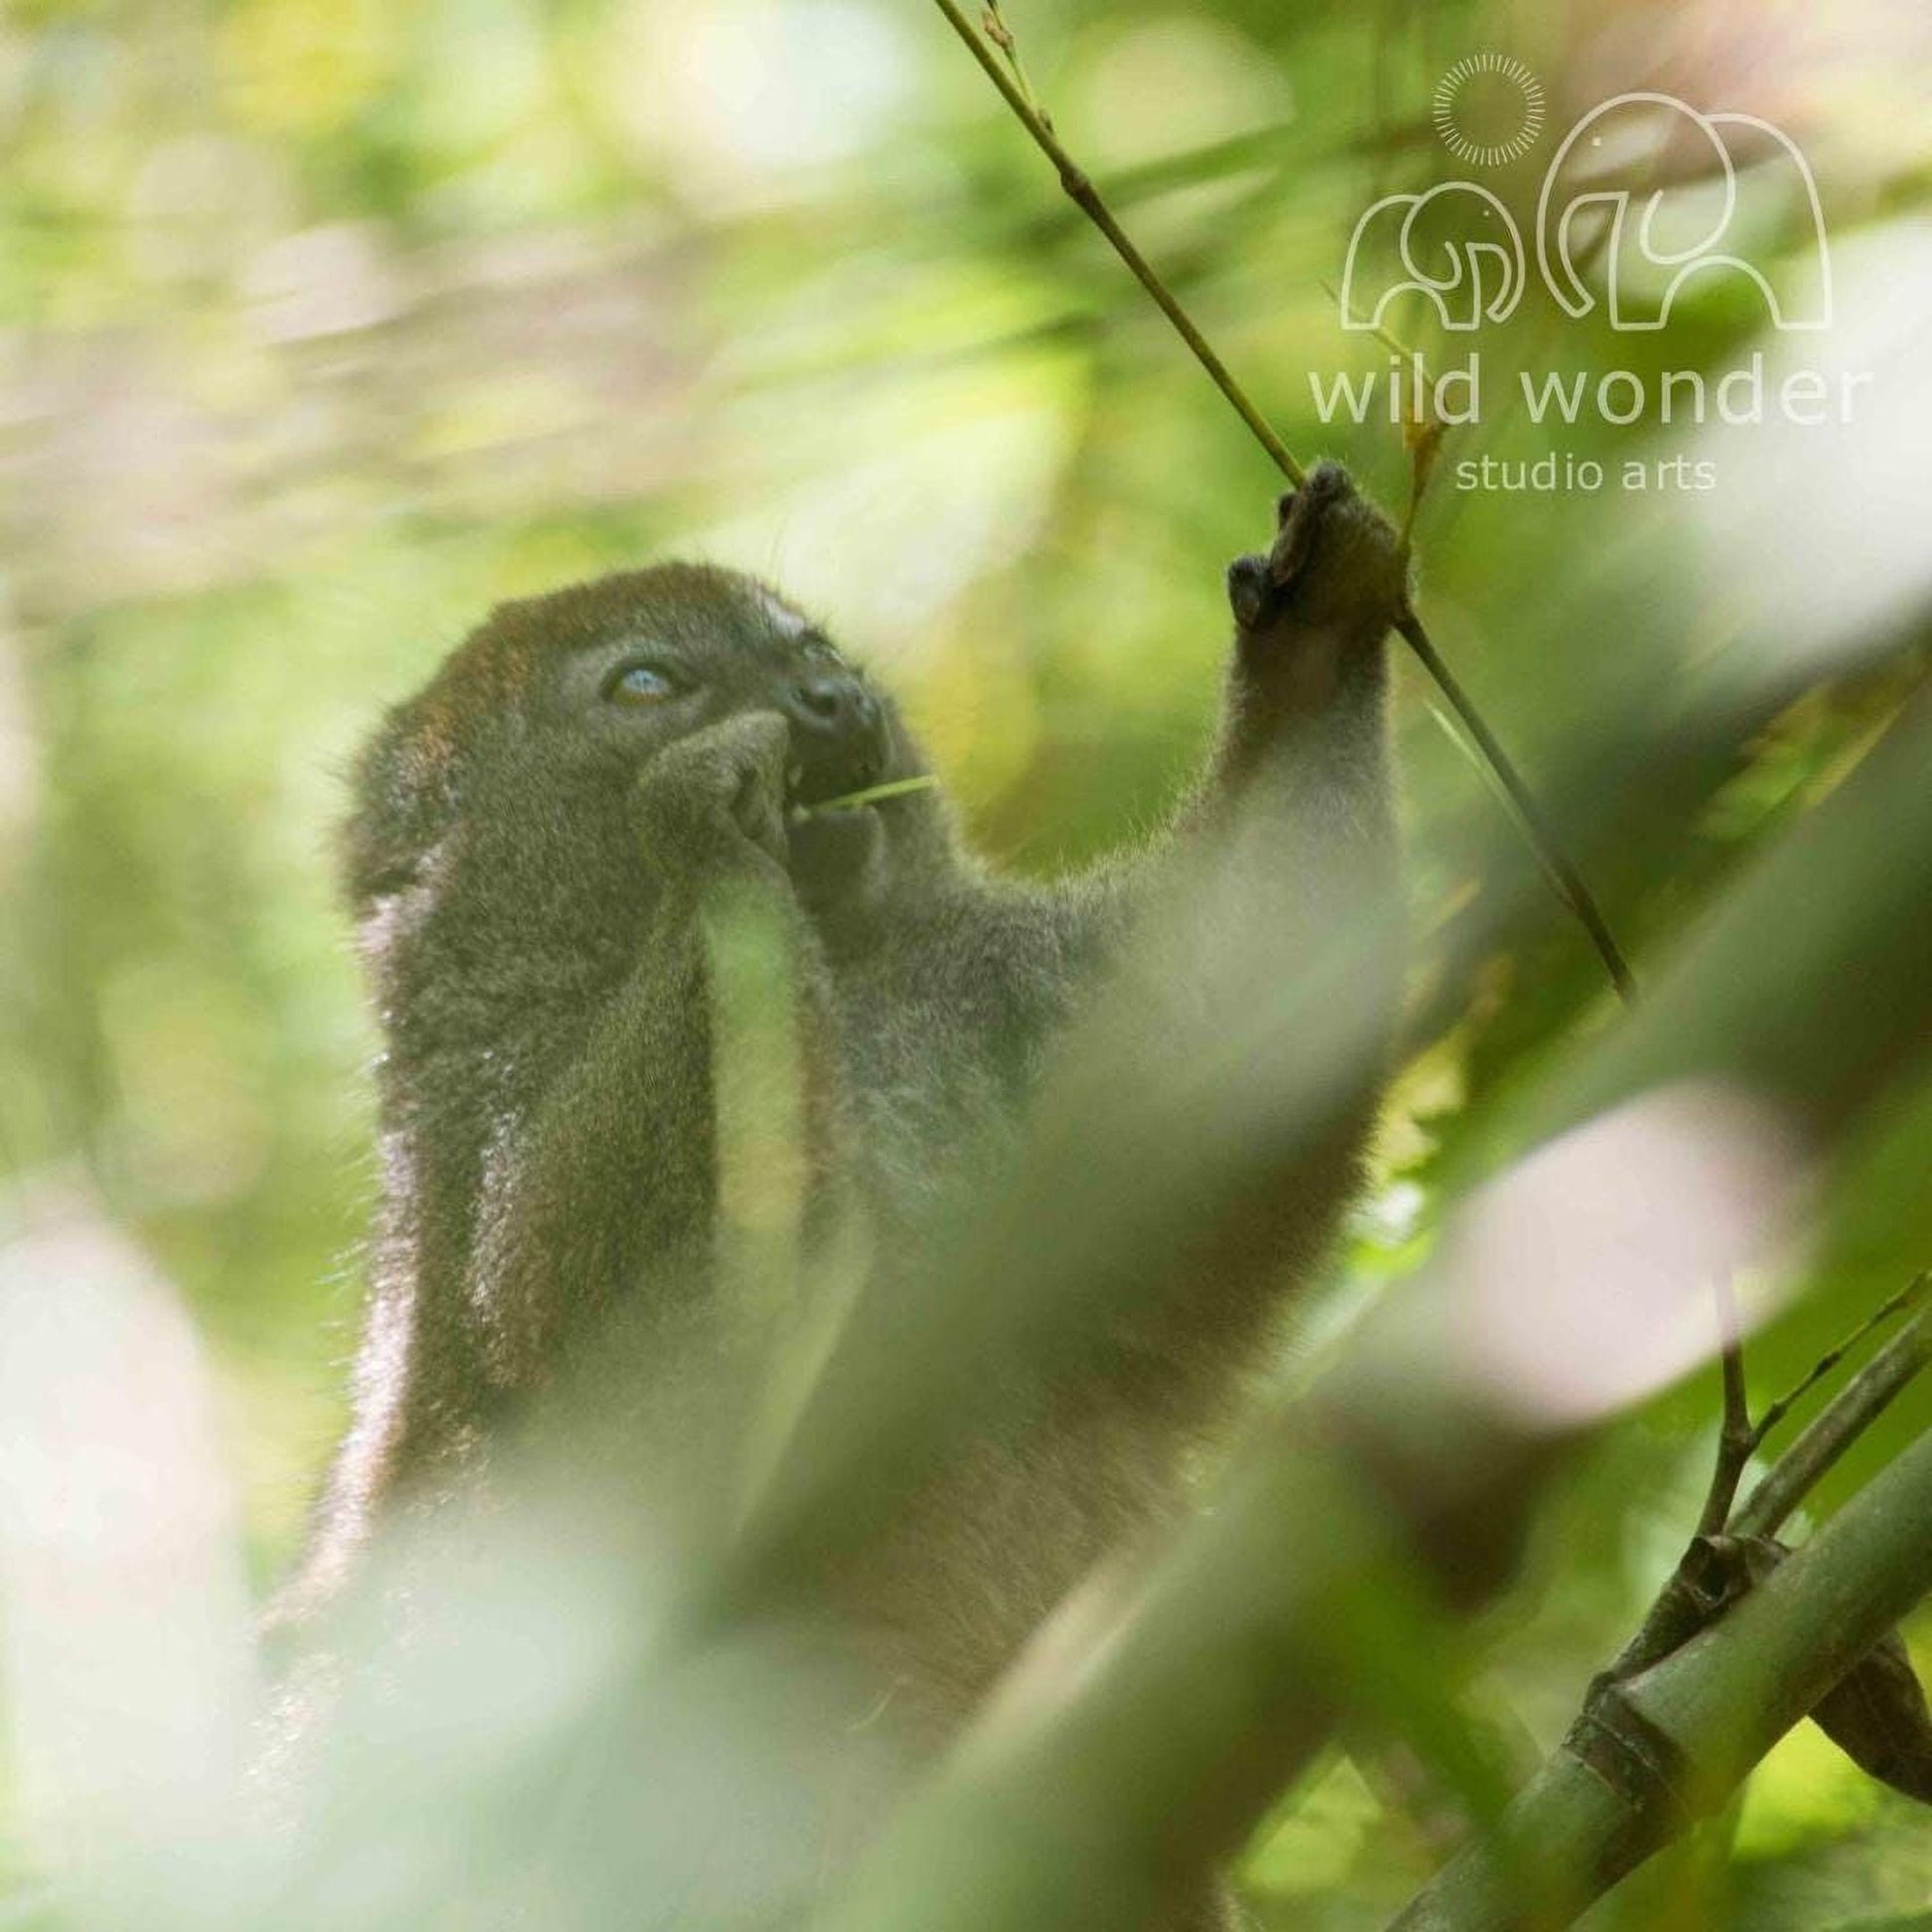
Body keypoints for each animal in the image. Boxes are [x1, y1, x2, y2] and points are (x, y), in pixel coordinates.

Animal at [289, 461, 1408, 1927]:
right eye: (648, 682)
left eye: (805, 644)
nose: (826, 698)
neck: (861, 975)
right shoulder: (475, 1152)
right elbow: (612, 1431)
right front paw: (710, 831)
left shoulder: (1008, 996)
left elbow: (1229, 1060)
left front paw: (1311, 641)